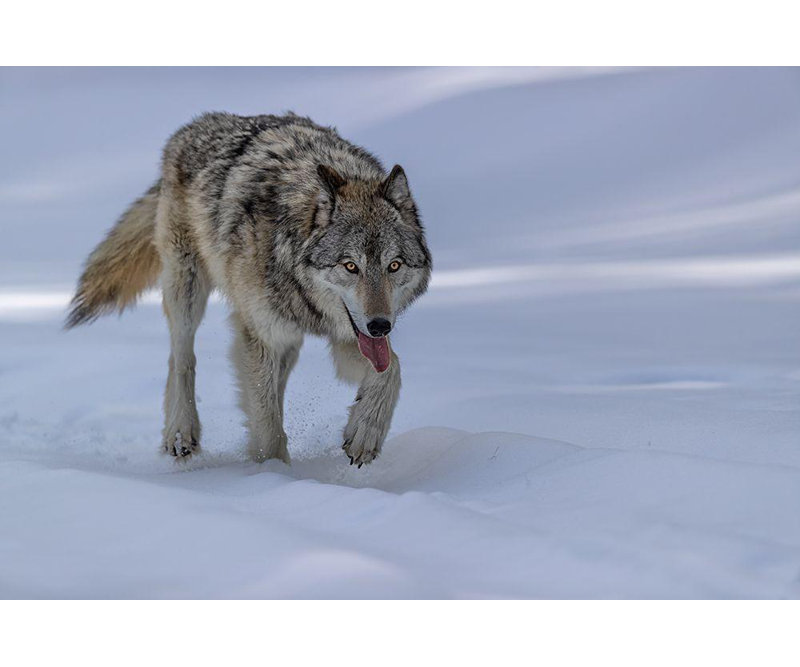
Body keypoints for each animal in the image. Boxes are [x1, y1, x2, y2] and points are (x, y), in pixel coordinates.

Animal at [67, 112, 432, 467]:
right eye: (351, 266)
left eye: (394, 266)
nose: (380, 325)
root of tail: (194, 125)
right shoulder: (260, 335)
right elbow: (266, 423)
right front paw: (270, 473)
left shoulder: (342, 336)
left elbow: (391, 369)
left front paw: (364, 434)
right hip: (188, 290)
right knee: (181, 358)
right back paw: (181, 432)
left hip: (287, 340)